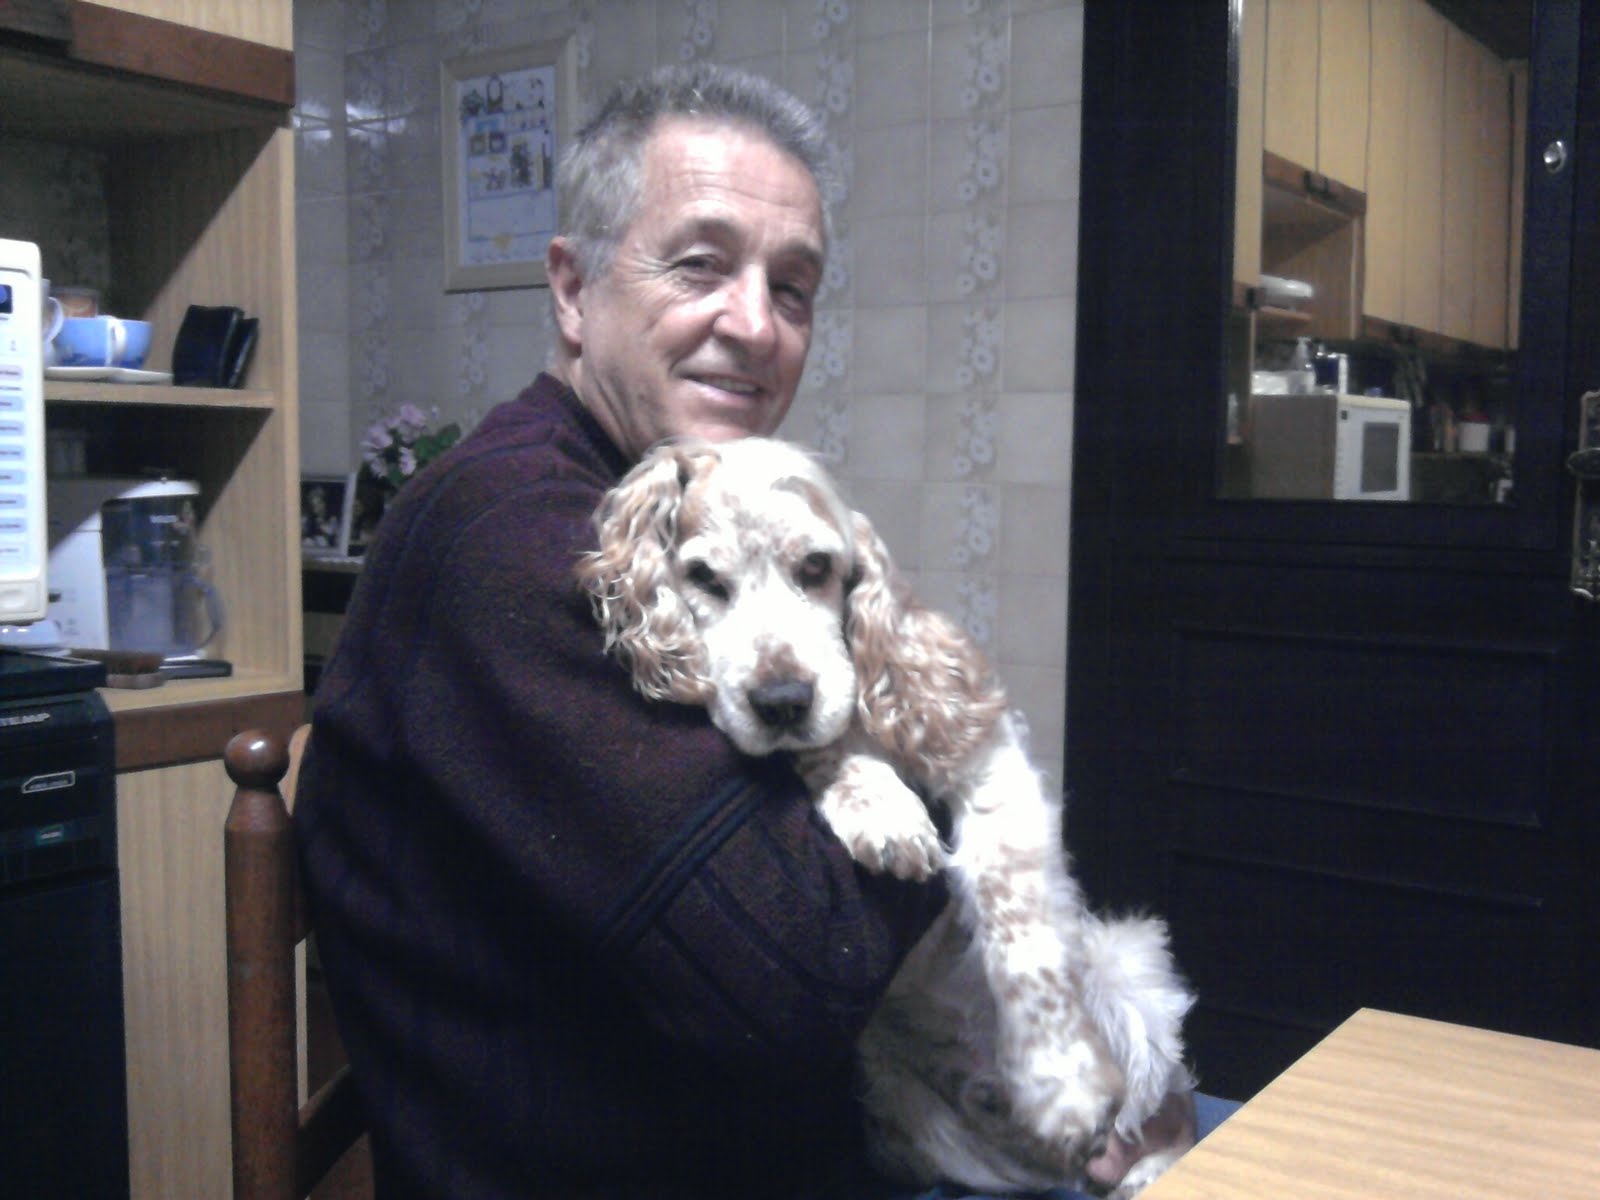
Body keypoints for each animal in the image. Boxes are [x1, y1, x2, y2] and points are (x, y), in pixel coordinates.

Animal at [577, 437, 1195, 1196]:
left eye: (816, 567)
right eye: (702, 577)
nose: (781, 700)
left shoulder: (992, 762)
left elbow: (1020, 925)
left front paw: (1061, 1085)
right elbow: (834, 741)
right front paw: (884, 811)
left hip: (1124, 975)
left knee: (1151, 1115)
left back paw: (1145, 1166)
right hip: (903, 1105)